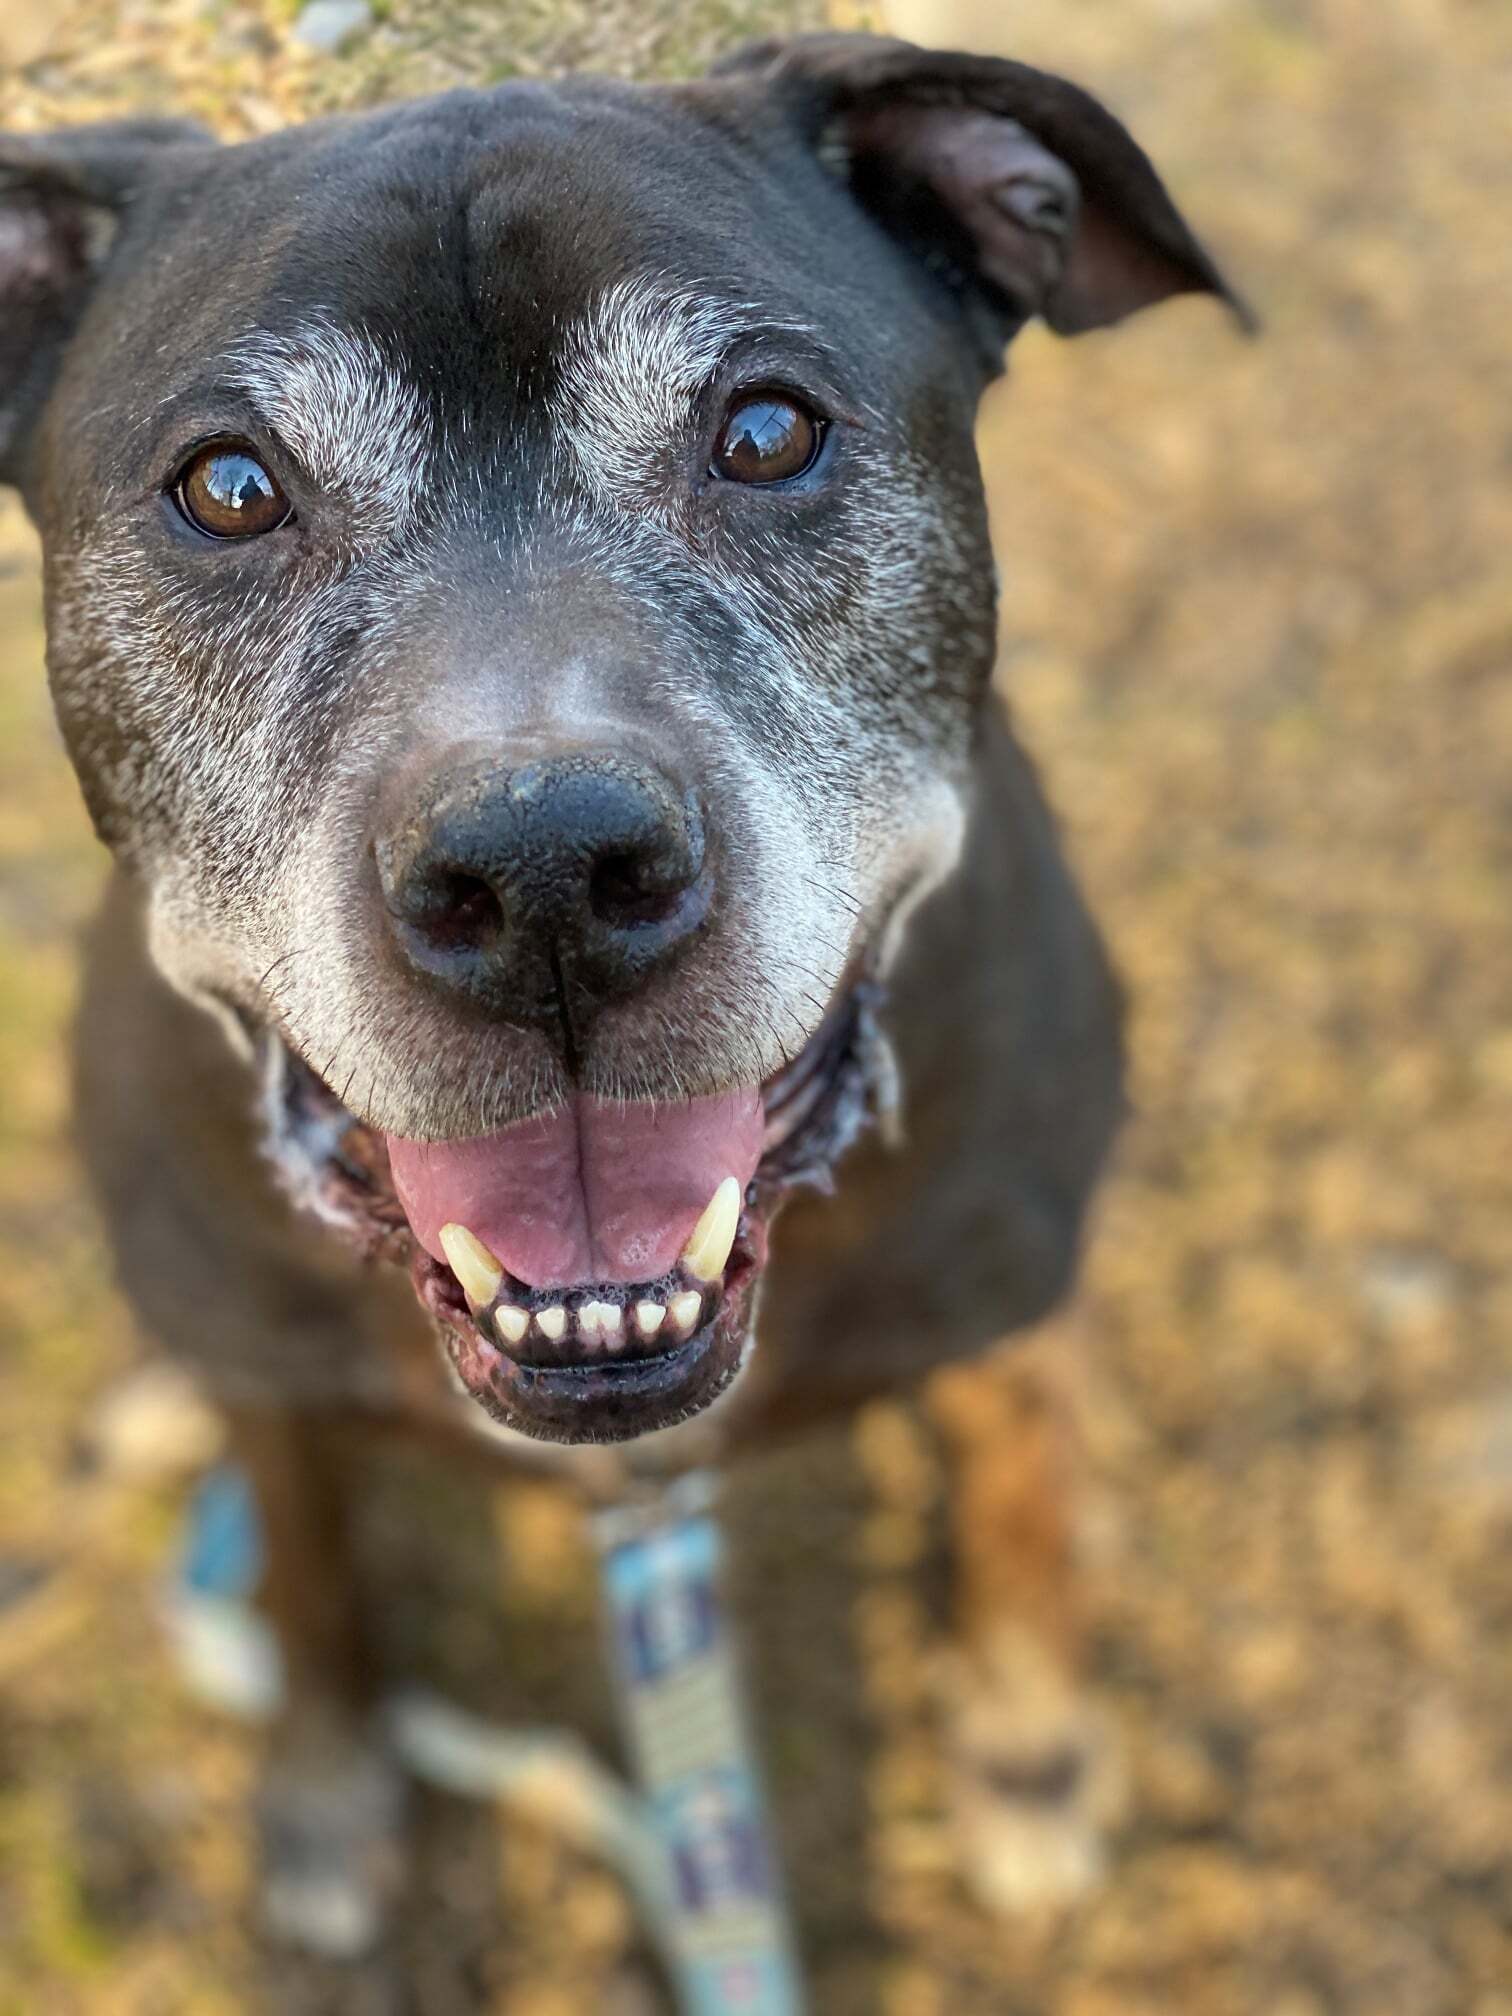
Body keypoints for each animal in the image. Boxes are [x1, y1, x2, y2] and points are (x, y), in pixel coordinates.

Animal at [0, 27, 1241, 1951]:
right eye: (228, 486)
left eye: (765, 431)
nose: (544, 884)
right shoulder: (271, 1382)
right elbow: (312, 1585)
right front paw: (328, 1789)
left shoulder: (1000, 1261)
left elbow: (1019, 1499)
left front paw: (1029, 1747)